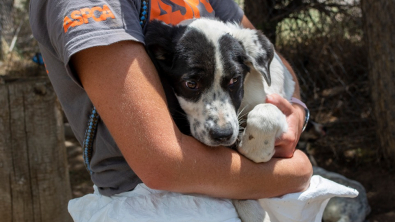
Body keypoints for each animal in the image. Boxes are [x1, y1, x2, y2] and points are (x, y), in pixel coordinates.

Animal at [144, 18, 296, 221]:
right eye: (191, 84)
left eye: (234, 80)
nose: (223, 135)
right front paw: (253, 210)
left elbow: (266, 113)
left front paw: (254, 148)